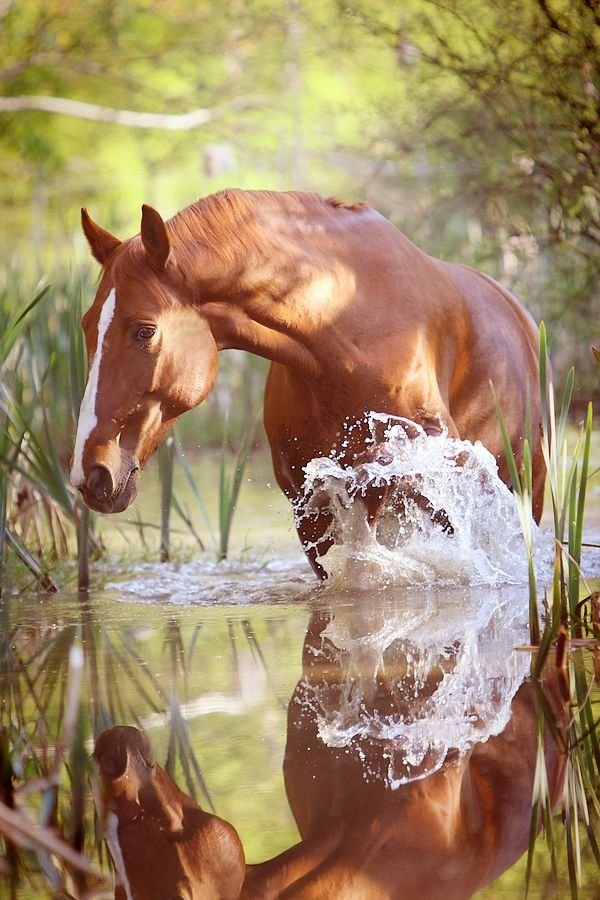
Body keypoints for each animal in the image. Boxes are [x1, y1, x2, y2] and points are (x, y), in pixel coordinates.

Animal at [71, 190, 544, 568]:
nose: (91, 473)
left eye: (144, 330)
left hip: (528, 487)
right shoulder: (309, 519)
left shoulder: (437, 456)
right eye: (86, 325)